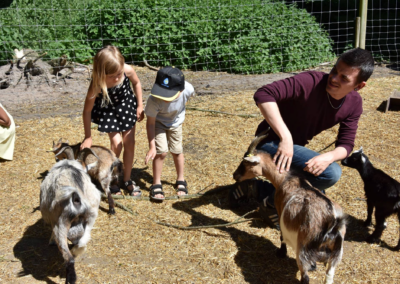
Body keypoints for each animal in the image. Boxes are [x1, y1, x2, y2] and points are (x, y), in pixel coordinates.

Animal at [40, 149, 101, 284]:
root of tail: (76, 199)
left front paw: (51, 241)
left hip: (61, 224)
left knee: (68, 258)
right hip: (91, 215)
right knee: (82, 242)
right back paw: (75, 250)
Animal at [233, 129, 346, 284]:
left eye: (244, 163)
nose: (235, 175)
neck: (285, 179)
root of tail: (333, 223)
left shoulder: (280, 211)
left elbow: (281, 234)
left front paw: (281, 252)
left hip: (302, 248)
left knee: (305, 277)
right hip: (335, 256)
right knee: (329, 276)